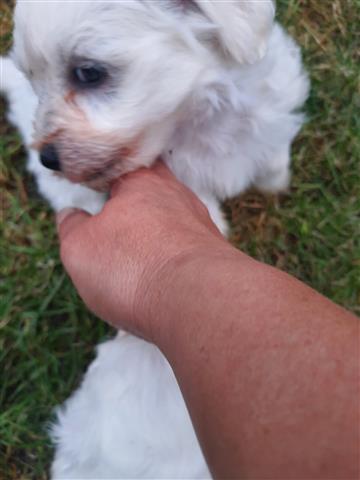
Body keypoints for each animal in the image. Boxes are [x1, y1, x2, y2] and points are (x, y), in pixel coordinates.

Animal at [1, 0, 308, 476]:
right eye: (35, 78)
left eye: (88, 73)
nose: (48, 157)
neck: (195, 121)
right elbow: (206, 211)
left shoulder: (268, 116)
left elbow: (272, 158)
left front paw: (276, 185)